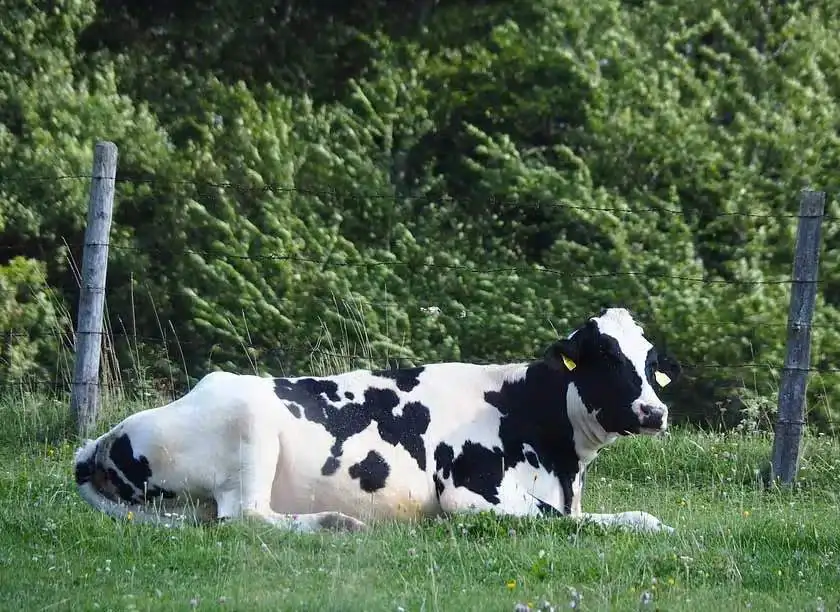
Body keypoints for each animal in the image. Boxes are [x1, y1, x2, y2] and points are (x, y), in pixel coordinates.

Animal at [73, 307, 681, 534]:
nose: (655, 411)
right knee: (244, 517)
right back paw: (336, 524)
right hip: (250, 430)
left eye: (651, 363)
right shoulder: (469, 494)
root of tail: (102, 439)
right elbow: (571, 520)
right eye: (605, 358)